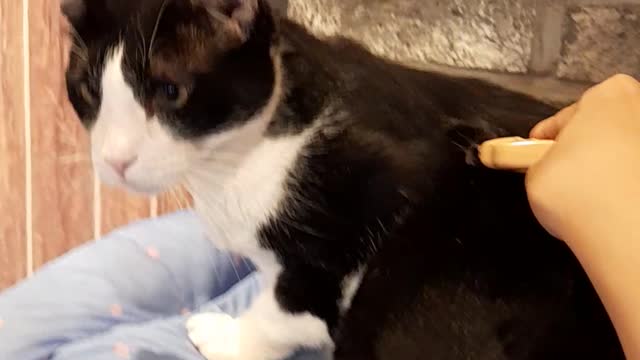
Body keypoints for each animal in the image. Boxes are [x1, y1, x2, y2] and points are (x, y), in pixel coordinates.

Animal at [61, 0, 624, 358]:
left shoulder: (382, 187)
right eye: (88, 89)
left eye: (170, 91)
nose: (114, 159)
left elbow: (288, 303)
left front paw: (231, 339)